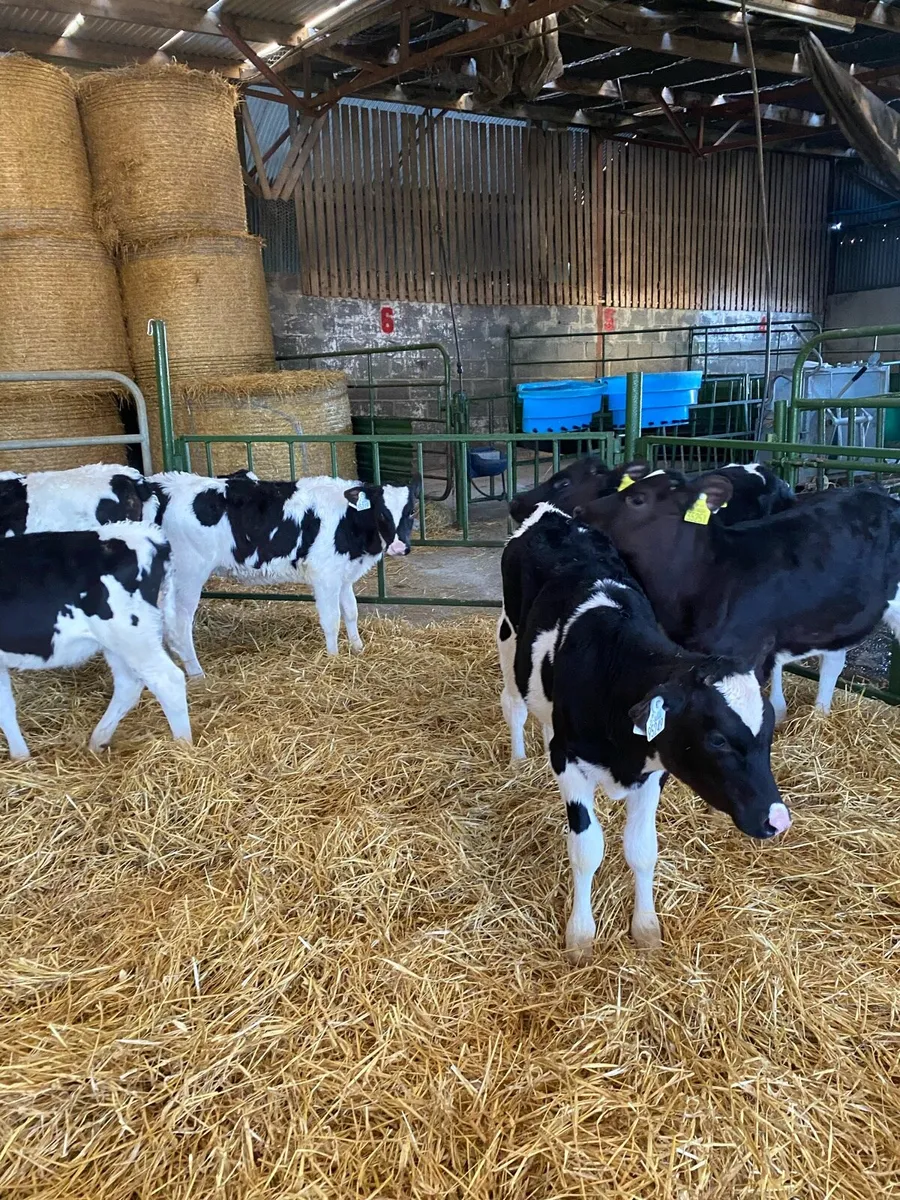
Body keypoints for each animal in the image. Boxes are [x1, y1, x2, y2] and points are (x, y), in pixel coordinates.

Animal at [0, 524, 191, 759]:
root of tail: (151, 538)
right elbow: (5, 708)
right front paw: (21, 758)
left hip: (133, 638)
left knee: (168, 681)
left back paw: (183, 747)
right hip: (117, 644)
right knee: (128, 685)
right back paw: (98, 741)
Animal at [151, 470, 421, 674]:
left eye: (411, 511)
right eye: (381, 513)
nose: (400, 547)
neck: (348, 520)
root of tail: (168, 486)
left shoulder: (343, 575)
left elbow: (351, 613)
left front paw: (358, 649)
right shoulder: (325, 576)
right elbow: (331, 620)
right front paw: (333, 658)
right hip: (189, 573)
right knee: (180, 623)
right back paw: (197, 674)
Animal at [498, 503, 789, 957]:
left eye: (768, 735)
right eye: (718, 739)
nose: (778, 820)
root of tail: (551, 513)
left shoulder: (655, 770)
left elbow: (642, 849)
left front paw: (646, 928)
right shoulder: (570, 761)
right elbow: (587, 850)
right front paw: (580, 934)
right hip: (509, 635)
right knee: (513, 703)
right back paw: (517, 760)